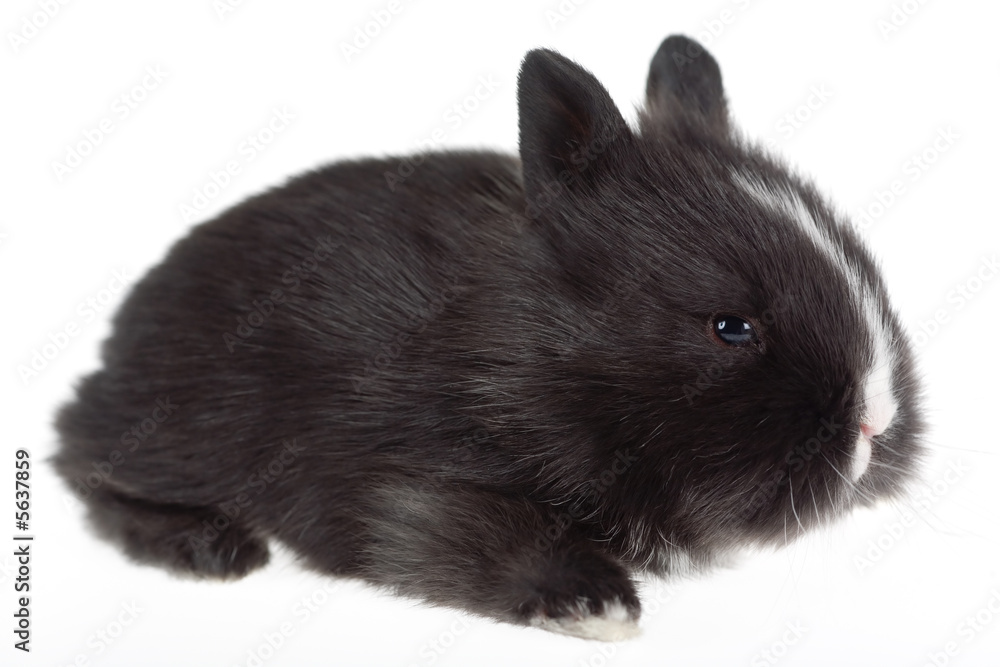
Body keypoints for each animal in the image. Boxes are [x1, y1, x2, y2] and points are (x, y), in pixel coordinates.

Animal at [53, 34, 924, 641]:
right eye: (731, 326)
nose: (876, 423)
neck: (533, 352)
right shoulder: (412, 486)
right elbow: (495, 536)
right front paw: (600, 608)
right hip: (178, 431)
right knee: (85, 468)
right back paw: (211, 547)